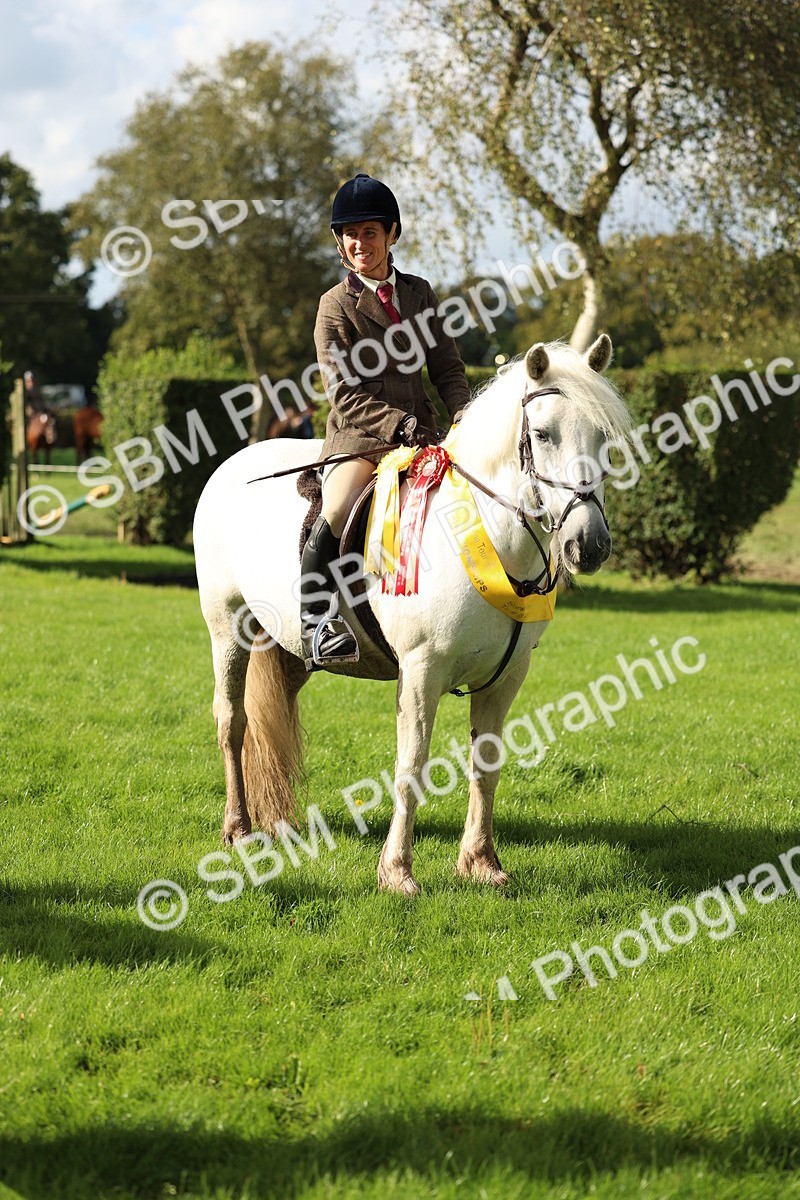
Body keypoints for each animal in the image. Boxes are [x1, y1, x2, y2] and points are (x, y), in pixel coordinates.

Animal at [193, 336, 632, 894]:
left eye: (603, 437)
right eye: (542, 434)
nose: (589, 545)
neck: (485, 535)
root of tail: (232, 464)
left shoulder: (507, 676)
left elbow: (487, 764)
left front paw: (480, 862)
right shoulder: (421, 672)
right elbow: (411, 767)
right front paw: (397, 872)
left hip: (286, 648)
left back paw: (277, 822)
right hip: (227, 629)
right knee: (232, 721)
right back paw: (239, 829)